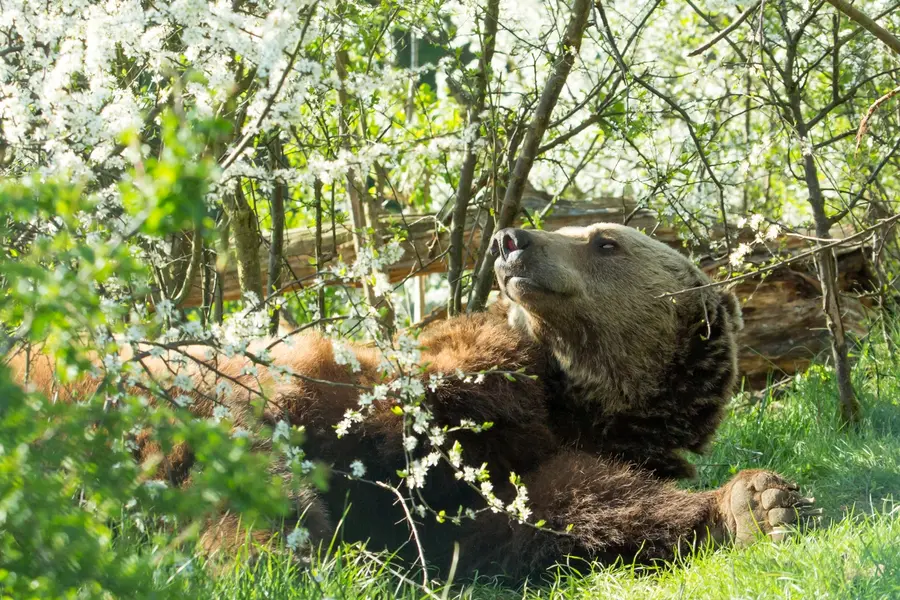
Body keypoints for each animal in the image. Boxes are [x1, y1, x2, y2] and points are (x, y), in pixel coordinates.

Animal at [8, 222, 817, 580]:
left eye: (605, 241)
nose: (512, 238)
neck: (582, 400)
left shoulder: (533, 468)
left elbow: (568, 506)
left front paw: (759, 504)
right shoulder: (458, 378)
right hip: (134, 391)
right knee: (234, 479)